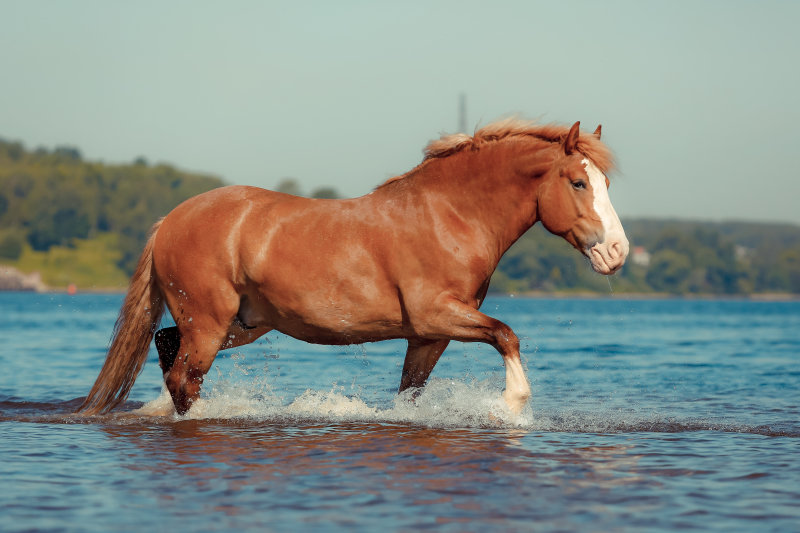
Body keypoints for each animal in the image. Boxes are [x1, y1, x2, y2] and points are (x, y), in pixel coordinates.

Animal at [79, 117, 632, 416]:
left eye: (605, 183)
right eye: (578, 182)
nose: (617, 252)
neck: (449, 215)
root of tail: (170, 220)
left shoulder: (428, 335)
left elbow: (410, 393)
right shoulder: (437, 314)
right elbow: (506, 335)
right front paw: (513, 406)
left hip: (241, 324)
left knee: (167, 348)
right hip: (210, 323)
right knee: (183, 379)